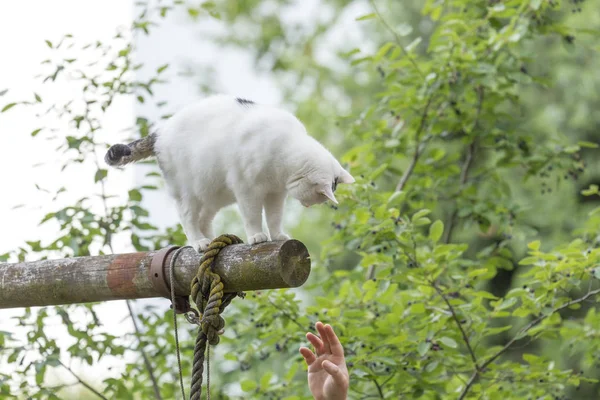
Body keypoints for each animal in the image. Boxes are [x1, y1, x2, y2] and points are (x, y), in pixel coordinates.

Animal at [105, 94, 354, 250]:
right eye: (319, 198)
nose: (308, 206)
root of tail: (160, 131)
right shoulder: (247, 189)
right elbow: (253, 216)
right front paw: (256, 236)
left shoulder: (275, 194)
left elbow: (274, 217)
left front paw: (277, 235)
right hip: (188, 193)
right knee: (188, 219)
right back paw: (199, 242)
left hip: (211, 194)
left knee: (204, 219)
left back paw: (211, 239)